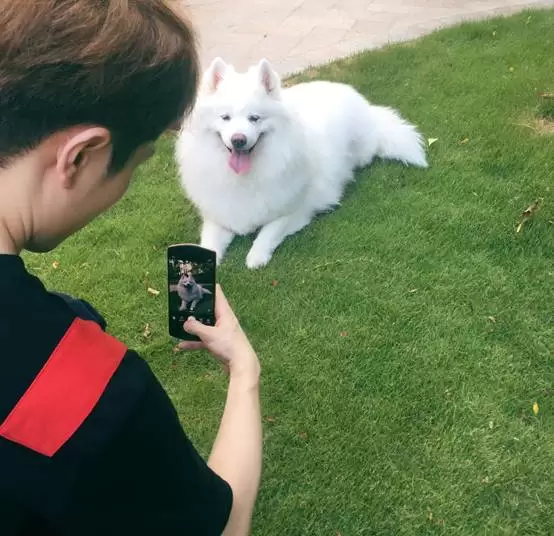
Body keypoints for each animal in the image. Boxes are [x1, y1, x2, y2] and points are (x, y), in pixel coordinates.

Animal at [176, 57, 428, 269]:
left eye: (254, 118)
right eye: (225, 118)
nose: (239, 140)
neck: (245, 178)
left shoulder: (294, 211)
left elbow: (268, 231)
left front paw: (256, 256)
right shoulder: (218, 216)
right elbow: (208, 243)